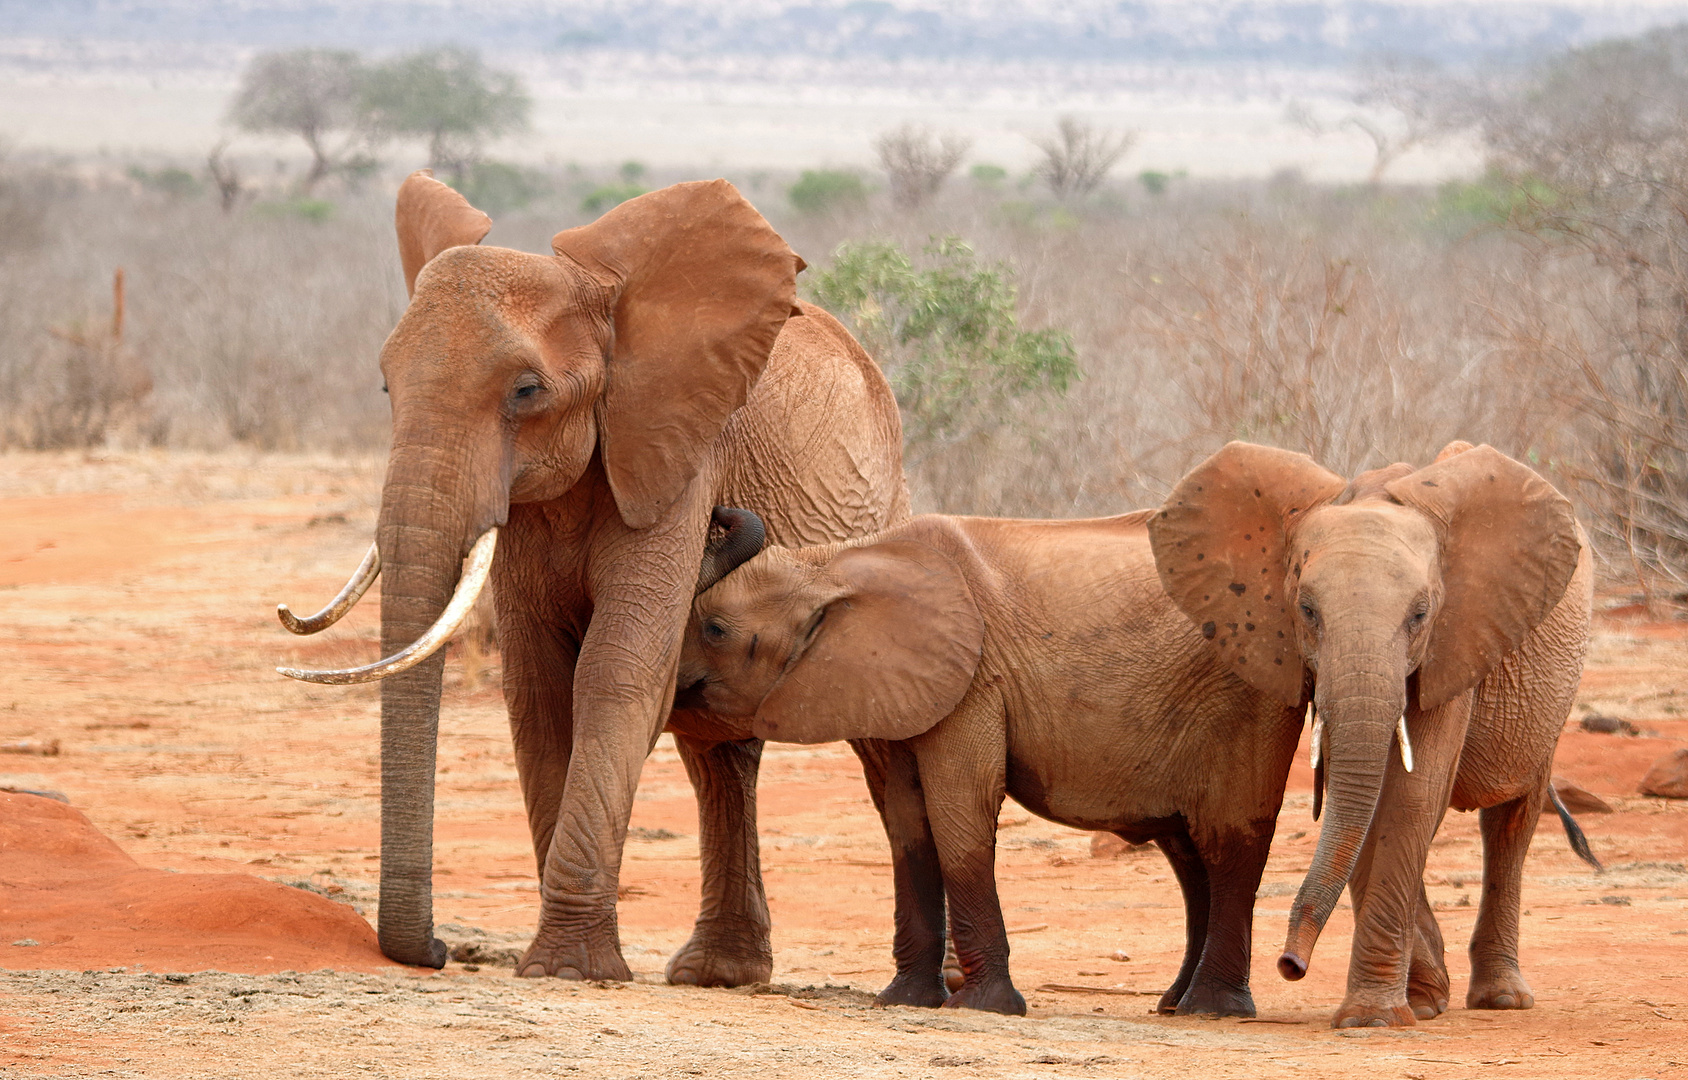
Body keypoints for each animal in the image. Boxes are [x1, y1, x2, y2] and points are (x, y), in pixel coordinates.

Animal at [276, 167, 911, 978]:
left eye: (526, 391)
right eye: (388, 388)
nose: (442, 951)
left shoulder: (676, 457)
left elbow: (615, 669)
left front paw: (568, 968)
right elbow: (540, 688)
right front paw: (562, 958)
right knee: (718, 758)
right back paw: (718, 975)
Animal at [671, 509, 1303, 1019]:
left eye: (715, 629)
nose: (721, 511)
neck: (835, 561)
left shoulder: (973, 683)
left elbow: (960, 815)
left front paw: (983, 1007)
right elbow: (908, 825)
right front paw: (904, 1001)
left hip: (1253, 699)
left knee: (1229, 846)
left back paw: (1211, 1009)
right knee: (1190, 858)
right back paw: (1175, 1003)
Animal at [1147, 442, 1593, 1026]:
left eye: (1421, 614)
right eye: (1306, 610)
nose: (1290, 965)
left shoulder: (1455, 640)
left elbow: (1409, 797)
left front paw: (1372, 1019)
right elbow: (1366, 799)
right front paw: (1406, 1007)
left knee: (1512, 820)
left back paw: (1501, 999)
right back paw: (1428, 997)